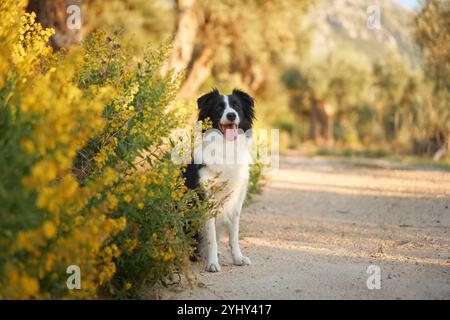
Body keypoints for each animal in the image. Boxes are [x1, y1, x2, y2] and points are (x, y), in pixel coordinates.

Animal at [184, 88, 255, 272]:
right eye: (219, 107)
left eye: (237, 106)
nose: (231, 115)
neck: (226, 148)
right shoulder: (206, 200)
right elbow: (210, 237)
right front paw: (212, 263)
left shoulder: (237, 200)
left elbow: (234, 235)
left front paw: (238, 258)